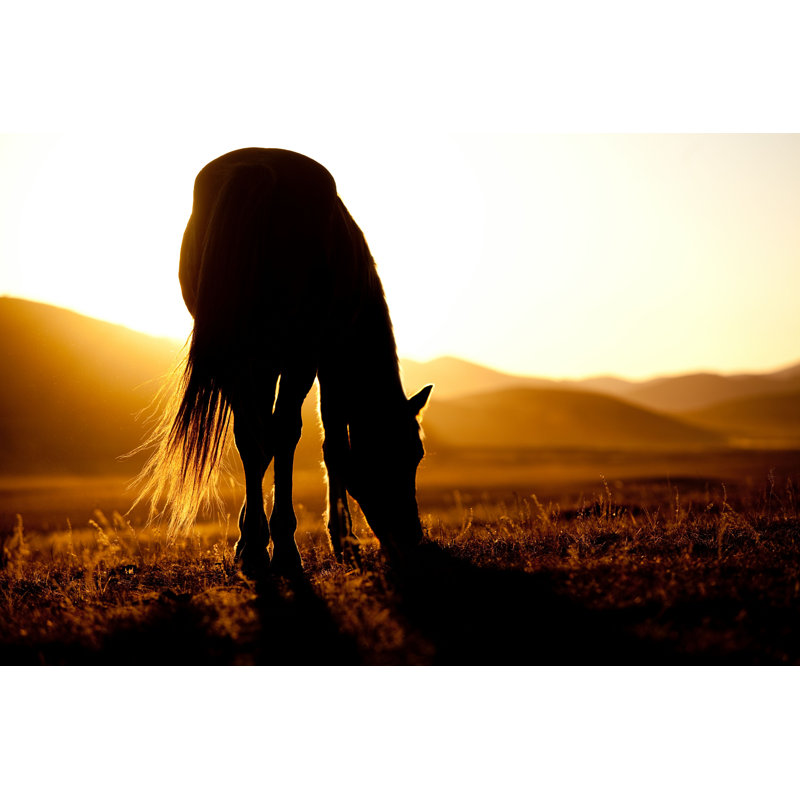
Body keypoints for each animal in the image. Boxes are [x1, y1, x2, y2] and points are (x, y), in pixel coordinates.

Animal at [136, 147, 432, 575]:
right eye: (411, 453)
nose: (411, 537)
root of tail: (258, 167)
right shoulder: (324, 360)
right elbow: (330, 443)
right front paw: (341, 541)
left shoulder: (263, 363)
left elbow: (261, 443)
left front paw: (250, 538)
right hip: (295, 357)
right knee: (284, 432)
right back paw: (286, 549)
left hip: (240, 356)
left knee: (252, 435)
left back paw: (258, 549)